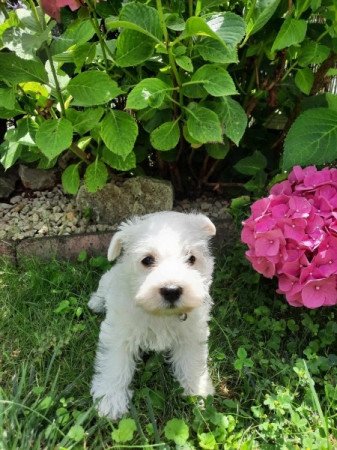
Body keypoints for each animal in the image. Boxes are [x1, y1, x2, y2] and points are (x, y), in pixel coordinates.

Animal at [88, 211, 215, 418]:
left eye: (191, 258)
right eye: (147, 260)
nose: (171, 290)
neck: (160, 315)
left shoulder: (192, 333)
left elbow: (192, 361)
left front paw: (198, 391)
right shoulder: (119, 333)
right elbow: (115, 363)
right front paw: (111, 399)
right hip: (108, 279)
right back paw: (96, 302)